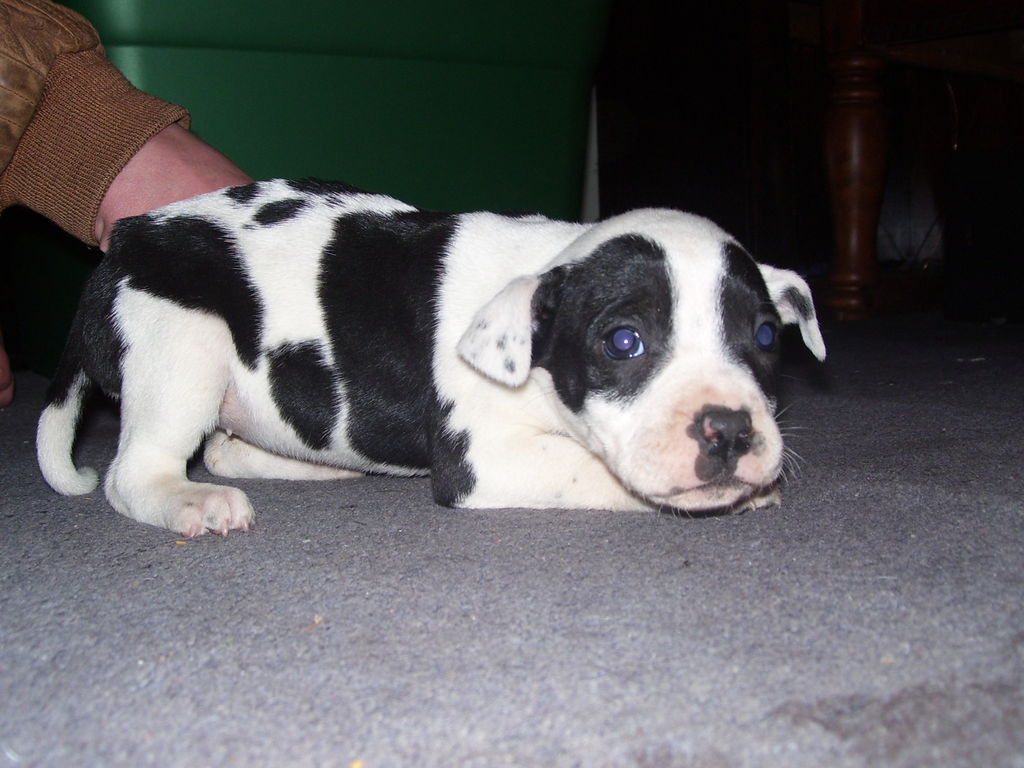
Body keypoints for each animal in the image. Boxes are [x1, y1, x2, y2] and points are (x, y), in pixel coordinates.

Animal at [36, 180, 827, 536]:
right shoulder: (488, 460)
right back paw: (189, 500)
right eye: (623, 342)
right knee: (137, 471)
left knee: (229, 447)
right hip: (183, 349)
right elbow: (597, 471)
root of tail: (126, 244)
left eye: (764, 338)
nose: (731, 431)